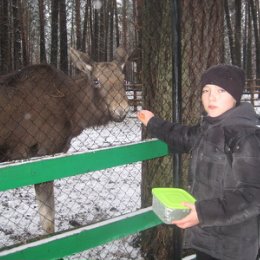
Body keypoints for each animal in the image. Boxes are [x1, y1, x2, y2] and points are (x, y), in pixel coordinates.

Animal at [0, 46, 129, 234]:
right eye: (96, 81)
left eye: (123, 79)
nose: (121, 109)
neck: (73, 116)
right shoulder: (43, 155)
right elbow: (48, 222)